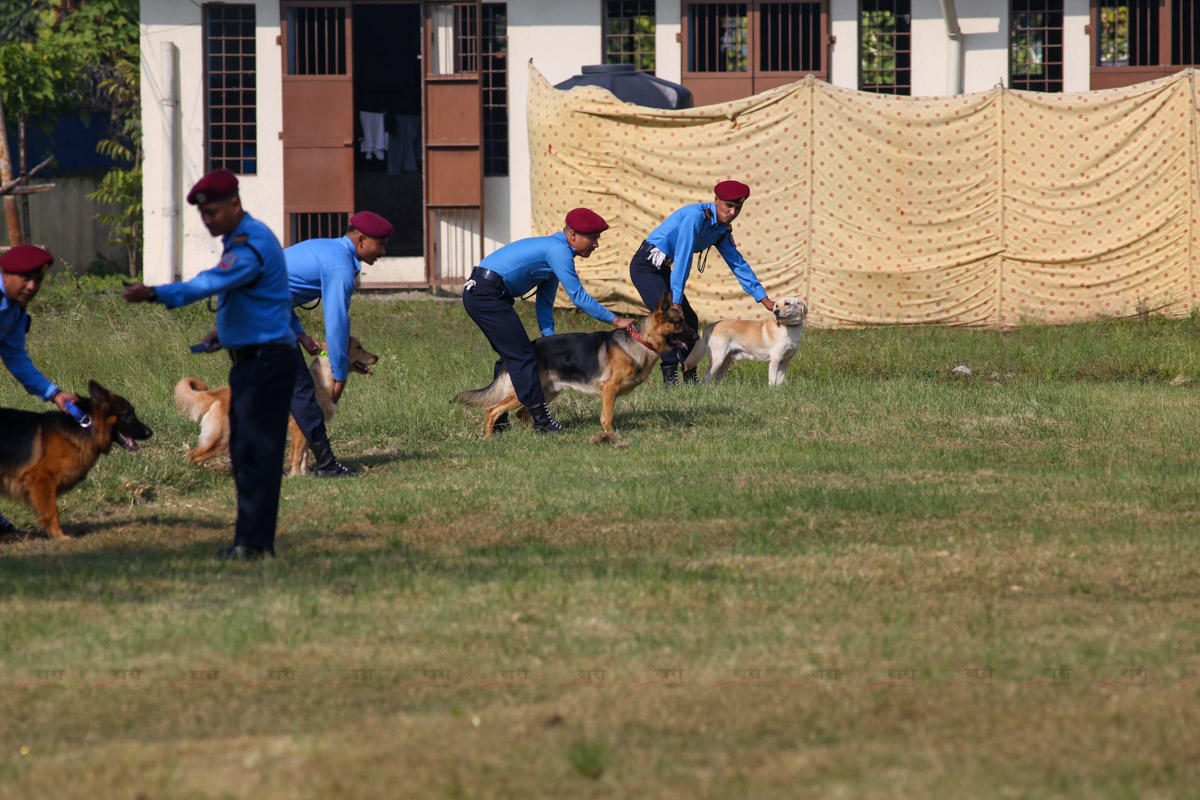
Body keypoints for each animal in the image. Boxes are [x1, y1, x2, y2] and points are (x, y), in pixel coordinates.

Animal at [0, 381, 154, 537]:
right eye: (128, 414)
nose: (150, 432)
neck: (88, 426)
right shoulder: (41, 479)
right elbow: (51, 511)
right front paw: (59, 536)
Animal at [174, 333, 376, 472]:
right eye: (359, 347)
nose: (377, 357)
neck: (321, 381)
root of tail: (217, 393)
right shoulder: (301, 426)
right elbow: (298, 455)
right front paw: (296, 476)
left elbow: (305, 454)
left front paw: (305, 475)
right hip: (222, 437)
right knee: (193, 456)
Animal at [451, 292, 700, 434]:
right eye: (679, 323)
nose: (697, 337)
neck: (641, 341)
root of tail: (506, 359)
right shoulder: (609, 389)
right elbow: (608, 418)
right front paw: (610, 437)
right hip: (523, 393)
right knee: (492, 410)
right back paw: (488, 437)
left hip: (547, 393)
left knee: (523, 413)